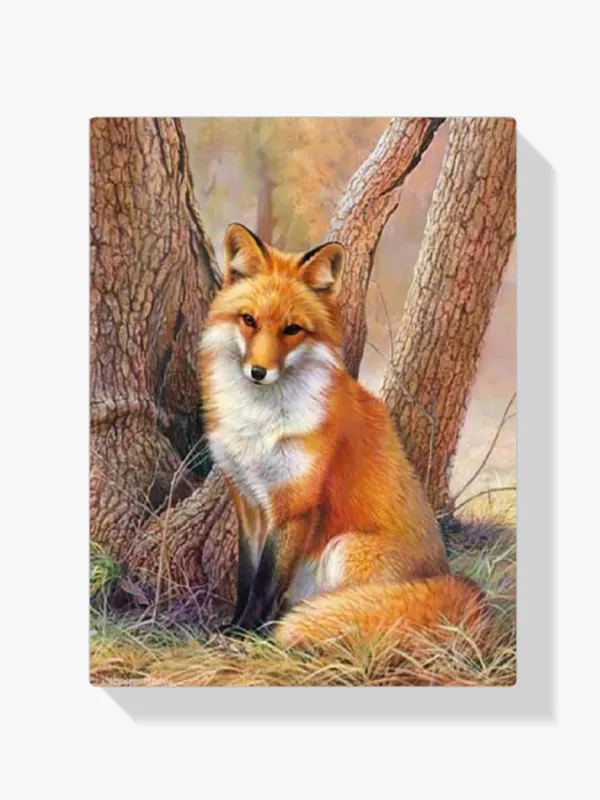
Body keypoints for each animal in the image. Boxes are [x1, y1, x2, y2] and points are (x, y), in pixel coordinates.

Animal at [199, 223, 491, 652]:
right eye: (248, 320)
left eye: (292, 329)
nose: (258, 372)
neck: (260, 425)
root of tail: (447, 576)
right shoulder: (248, 502)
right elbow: (246, 577)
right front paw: (234, 625)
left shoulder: (295, 505)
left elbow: (266, 583)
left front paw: (247, 634)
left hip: (344, 549)